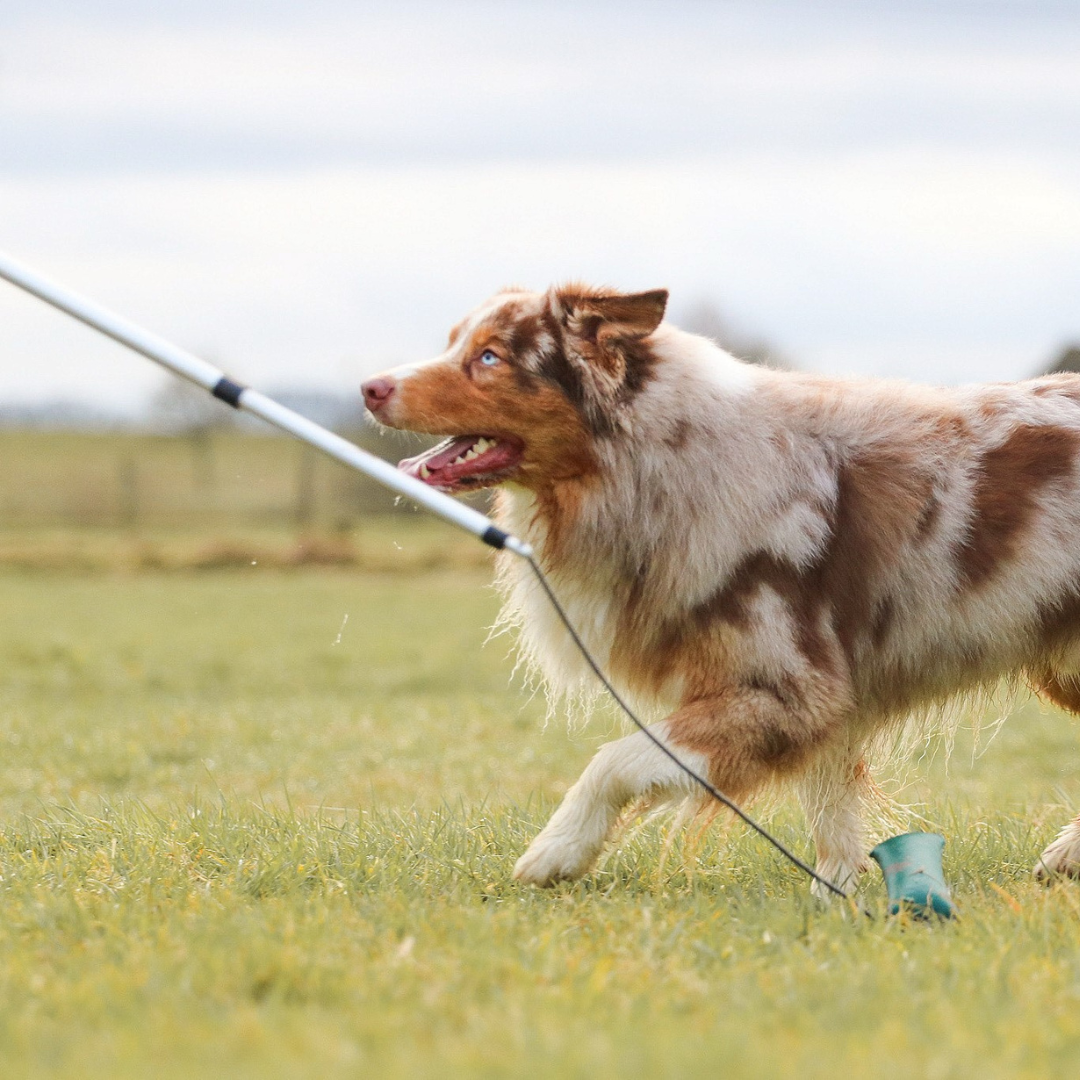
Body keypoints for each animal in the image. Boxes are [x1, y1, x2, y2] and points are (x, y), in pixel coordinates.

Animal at [365, 280, 1080, 894]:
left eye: (488, 357)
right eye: (456, 342)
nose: (371, 387)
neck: (662, 461)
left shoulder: (788, 688)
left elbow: (614, 759)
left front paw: (556, 852)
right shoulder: (823, 700)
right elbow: (831, 816)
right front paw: (841, 900)